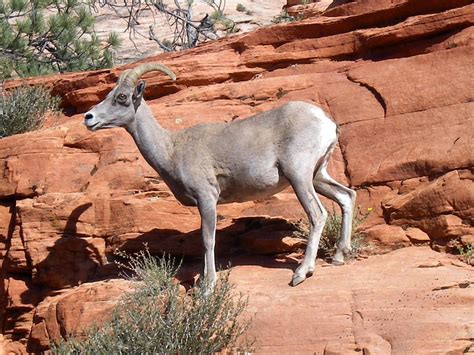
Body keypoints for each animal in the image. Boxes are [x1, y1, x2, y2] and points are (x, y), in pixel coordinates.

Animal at [84, 62, 356, 288]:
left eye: (121, 97)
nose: (89, 117)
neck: (172, 149)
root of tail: (325, 121)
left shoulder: (207, 199)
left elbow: (208, 241)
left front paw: (207, 287)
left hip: (299, 176)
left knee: (317, 214)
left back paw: (301, 273)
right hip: (317, 176)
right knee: (347, 196)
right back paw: (339, 257)